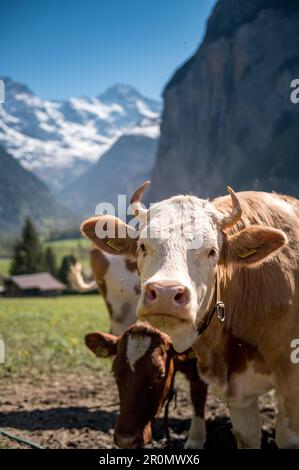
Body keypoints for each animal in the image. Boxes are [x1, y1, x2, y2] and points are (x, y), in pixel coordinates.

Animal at [82, 182, 299, 450]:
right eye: (142, 246)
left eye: (212, 251)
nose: (165, 293)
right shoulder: (239, 394)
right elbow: (247, 435)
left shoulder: (290, 384)